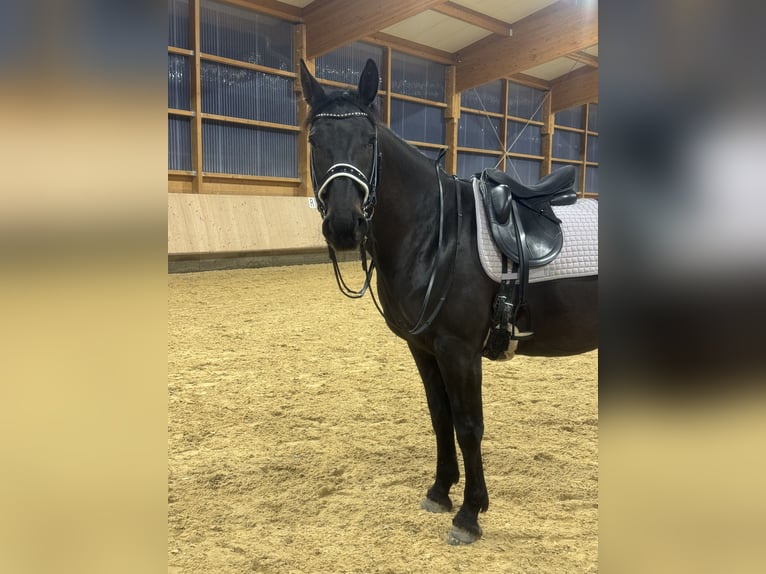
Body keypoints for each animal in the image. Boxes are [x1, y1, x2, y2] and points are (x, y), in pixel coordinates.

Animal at [299, 58, 597, 545]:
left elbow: (468, 425)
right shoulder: (423, 348)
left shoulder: (459, 351)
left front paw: (470, 514)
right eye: (314, 140)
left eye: (368, 140)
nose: (344, 226)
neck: (437, 233)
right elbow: (440, 417)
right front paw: (440, 491)